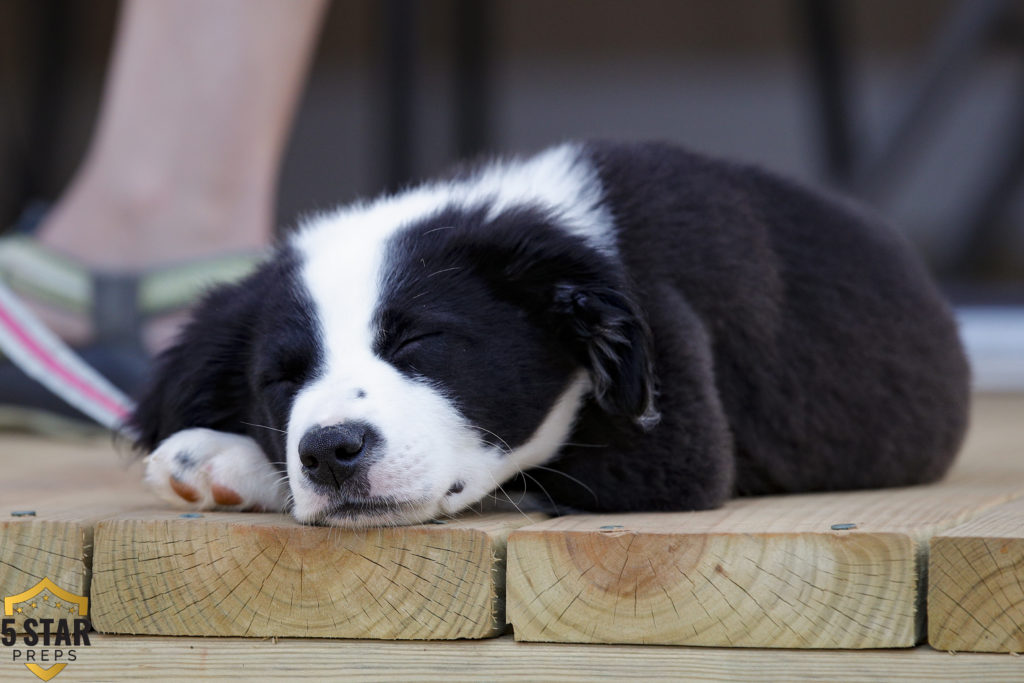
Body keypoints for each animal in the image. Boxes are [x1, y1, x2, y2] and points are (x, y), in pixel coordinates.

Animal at [132, 140, 970, 528]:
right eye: (282, 378)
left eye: (419, 343)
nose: (331, 451)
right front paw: (223, 453)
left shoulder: (673, 446)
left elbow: (526, 472)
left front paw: (223, 458)